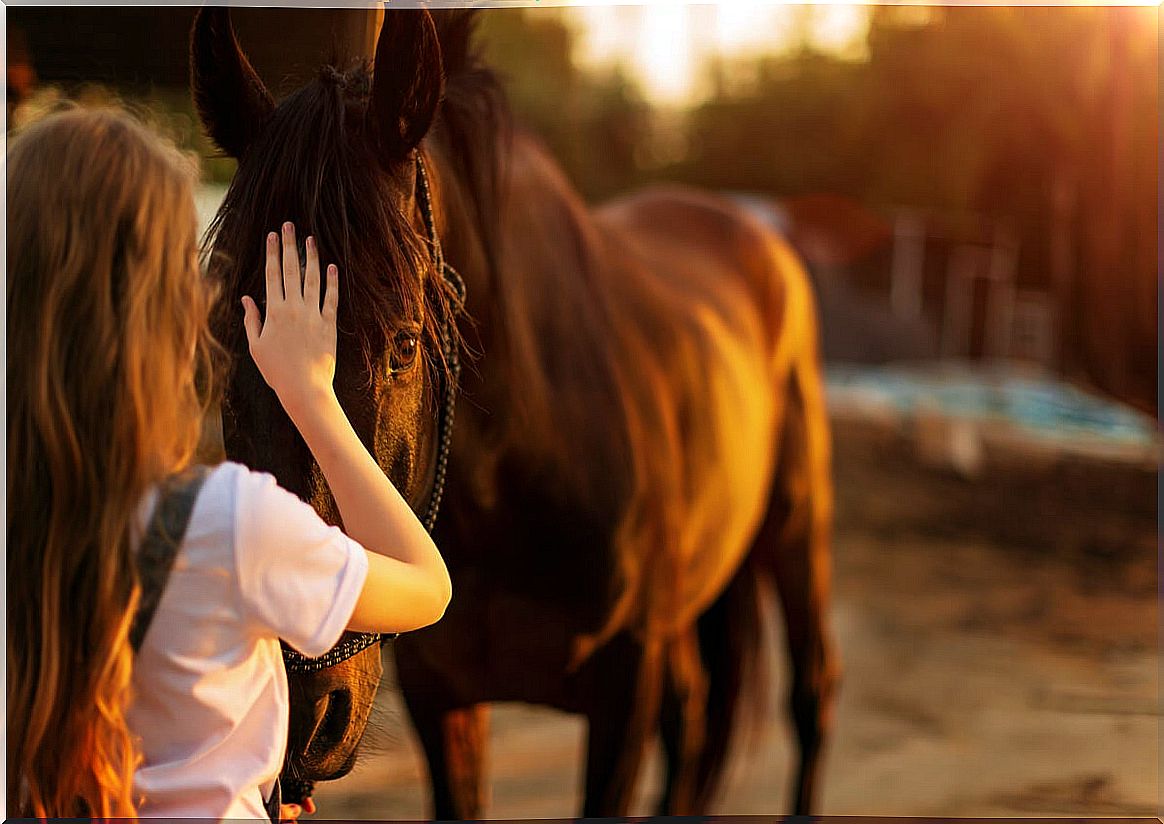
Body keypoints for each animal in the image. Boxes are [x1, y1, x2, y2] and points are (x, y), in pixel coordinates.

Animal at [391, 8, 838, 819]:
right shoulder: (438, 693)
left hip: (796, 524)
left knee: (810, 689)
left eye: (404, 336)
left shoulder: (623, 684)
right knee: (698, 713)